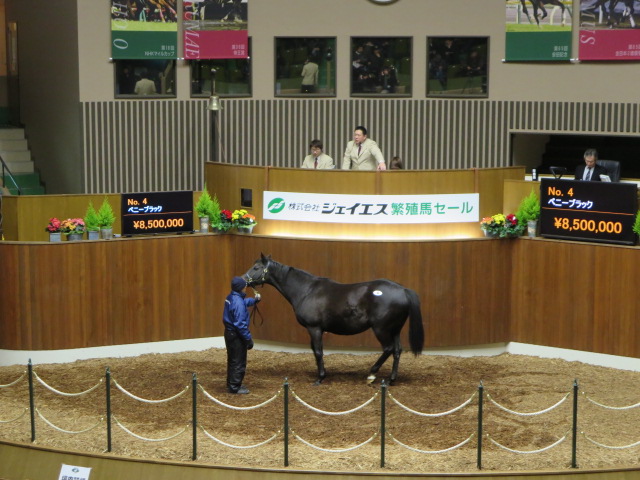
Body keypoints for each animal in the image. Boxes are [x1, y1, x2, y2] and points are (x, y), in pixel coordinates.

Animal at [243, 254, 424, 385]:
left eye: (256, 267)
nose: (243, 280)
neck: (306, 290)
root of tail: (403, 290)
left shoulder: (314, 328)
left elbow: (318, 351)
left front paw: (320, 378)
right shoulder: (314, 329)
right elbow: (315, 351)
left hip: (381, 329)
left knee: (388, 349)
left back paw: (372, 374)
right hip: (395, 329)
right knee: (397, 351)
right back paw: (392, 379)